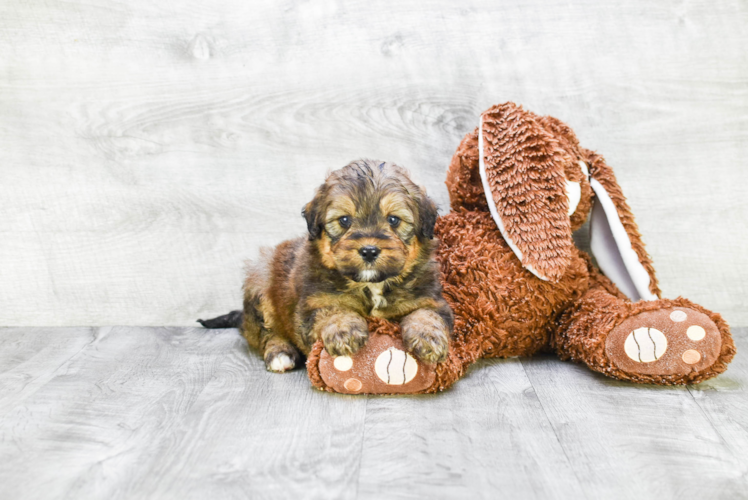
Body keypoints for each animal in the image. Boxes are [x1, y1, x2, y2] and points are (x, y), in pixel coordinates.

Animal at [199, 159, 452, 372]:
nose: (369, 250)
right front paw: (343, 330)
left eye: (393, 220)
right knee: (267, 334)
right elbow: (333, 309)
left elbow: (426, 314)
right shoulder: (313, 304)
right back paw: (280, 354)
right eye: (344, 220)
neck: (371, 285)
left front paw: (429, 338)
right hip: (259, 286)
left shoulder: (431, 300)